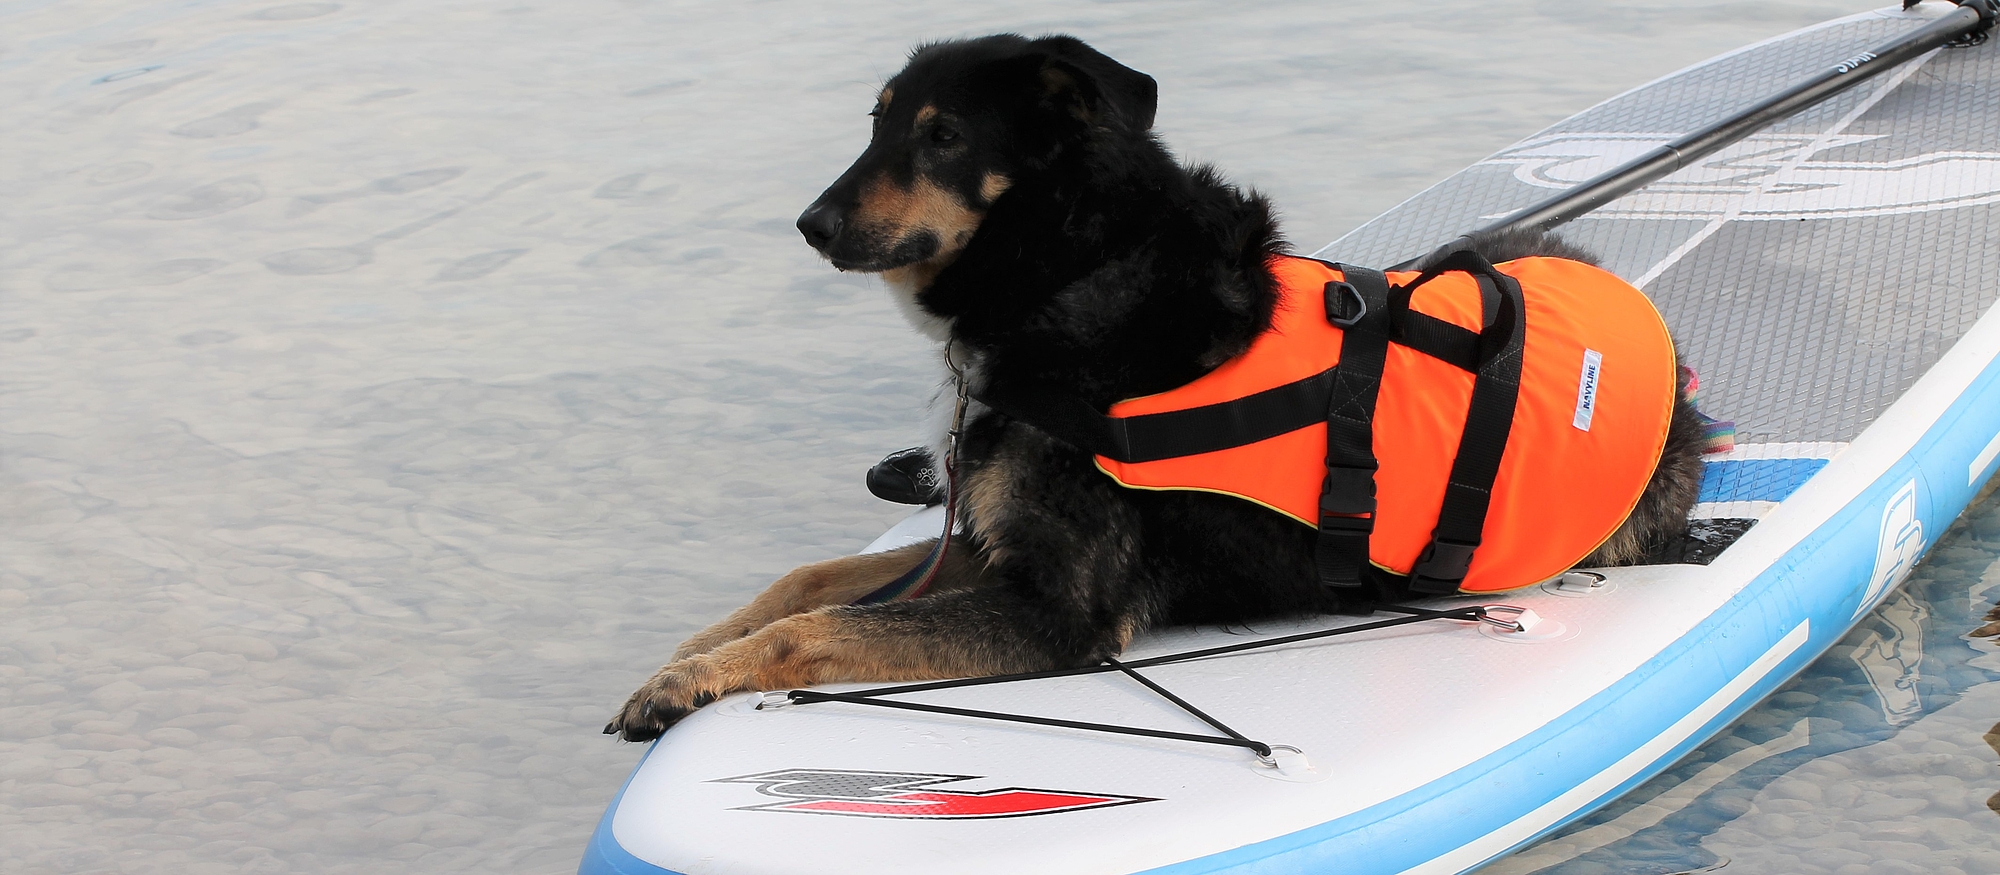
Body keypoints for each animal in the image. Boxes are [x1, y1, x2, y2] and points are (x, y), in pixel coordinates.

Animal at [608, 35, 1704, 743]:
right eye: (876, 125)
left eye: (944, 135)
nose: (811, 225)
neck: (1070, 267)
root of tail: (1683, 380)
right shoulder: (982, 540)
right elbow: (800, 583)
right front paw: (684, 655)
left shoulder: (1059, 612)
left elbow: (815, 626)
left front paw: (688, 680)